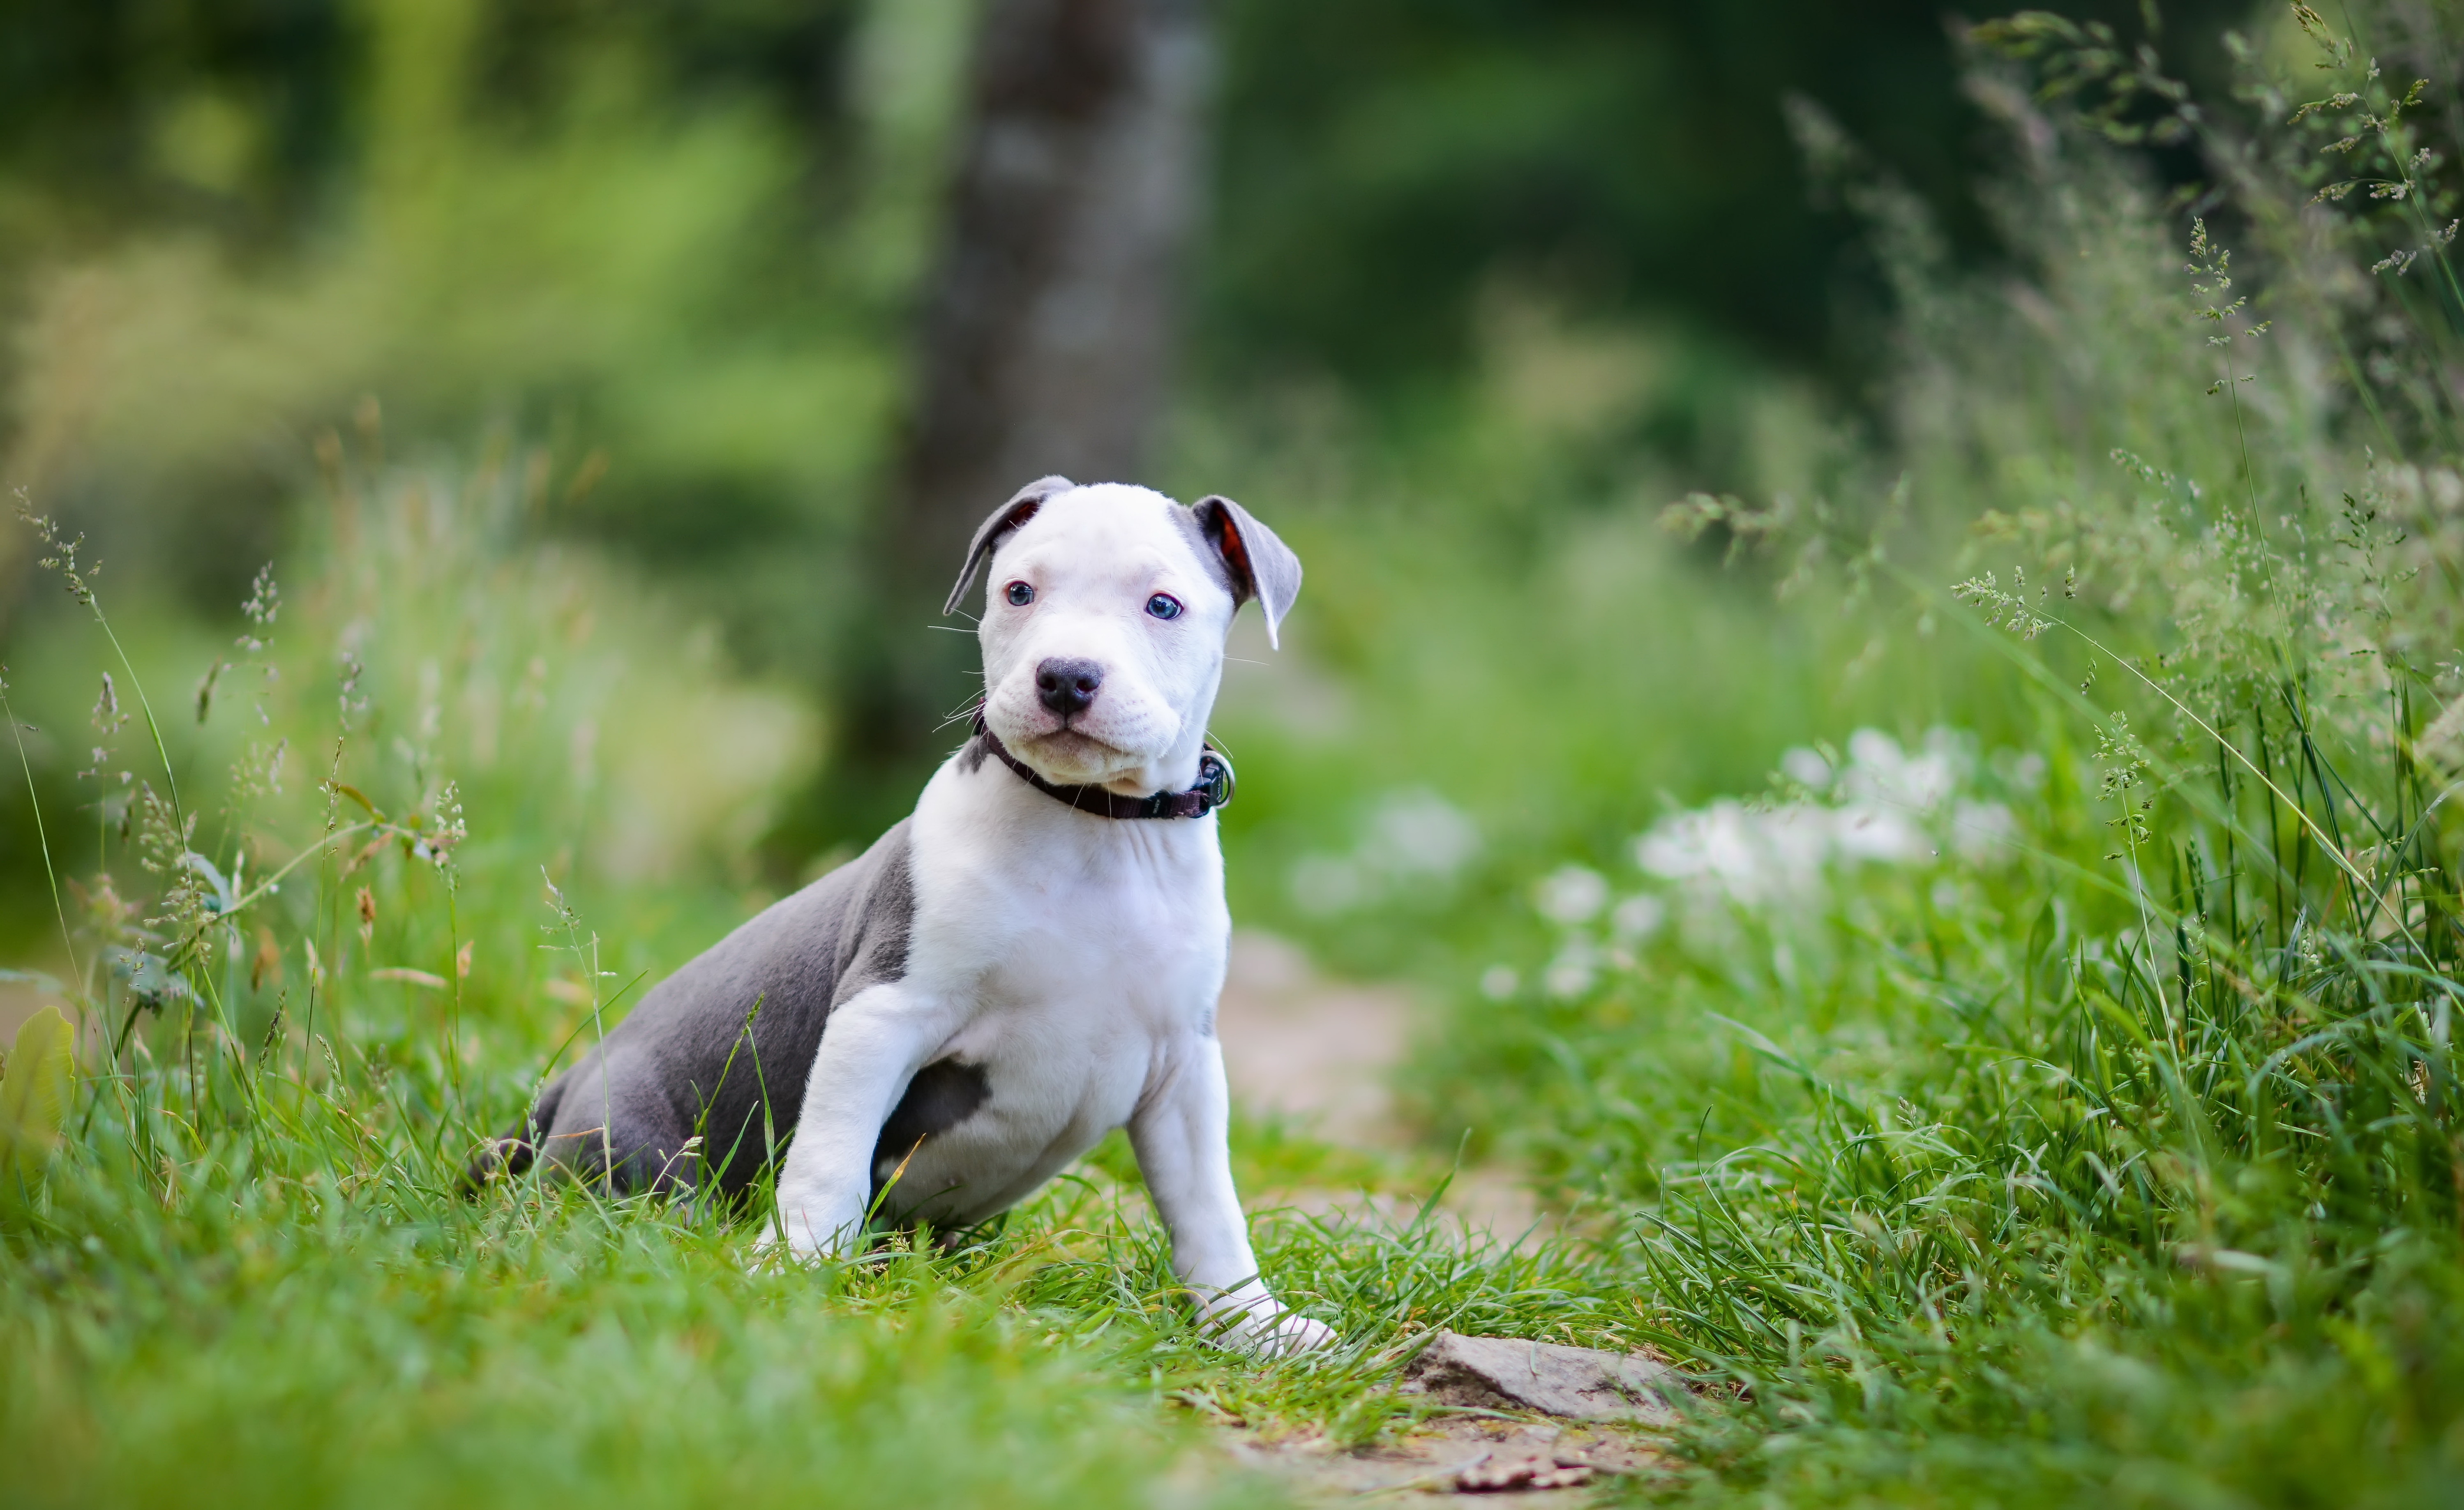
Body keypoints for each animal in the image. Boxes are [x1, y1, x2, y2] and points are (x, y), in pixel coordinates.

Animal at [475, 478, 1330, 1350]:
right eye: (1019, 592)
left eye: (1163, 605)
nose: (1065, 677)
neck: (1096, 826)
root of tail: (571, 1079)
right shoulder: (884, 1011)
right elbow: (831, 1156)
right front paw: (794, 1269)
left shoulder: (1183, 1066)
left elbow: (1210, 1210)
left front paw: (1258, 1328)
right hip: (639, 1152)